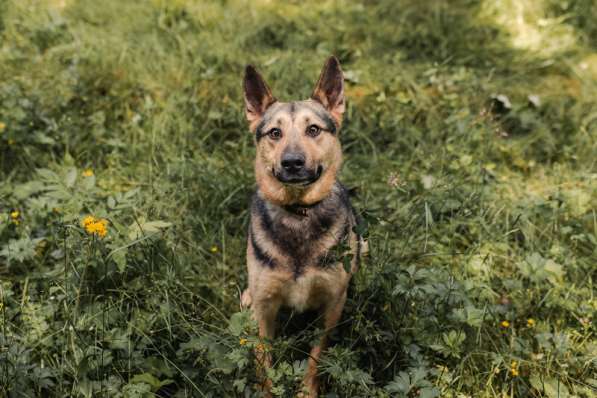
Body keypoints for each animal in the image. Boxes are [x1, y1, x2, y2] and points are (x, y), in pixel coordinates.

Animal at [239, 56, 360, 398]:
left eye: (313, 129)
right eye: (274, 133)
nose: (292, 162)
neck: (298, 212)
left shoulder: (332, 306)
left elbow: (317, 353)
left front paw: (307, 389)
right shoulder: (266, 308)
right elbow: (263, 356)